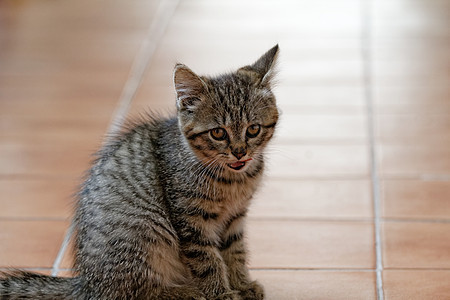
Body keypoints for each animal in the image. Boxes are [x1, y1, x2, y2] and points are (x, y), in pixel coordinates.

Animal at [0, 44, 280, 300]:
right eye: (218, 133)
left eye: (253, 129)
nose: (240, 152)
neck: (233, 180)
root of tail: (87, 284)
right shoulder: (190, 221)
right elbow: (207, 260)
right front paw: (221, 293)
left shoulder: (235, 217)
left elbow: (235, 252)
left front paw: (242, 284)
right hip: (147, 232)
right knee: (138, 291)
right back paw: (185, 292)